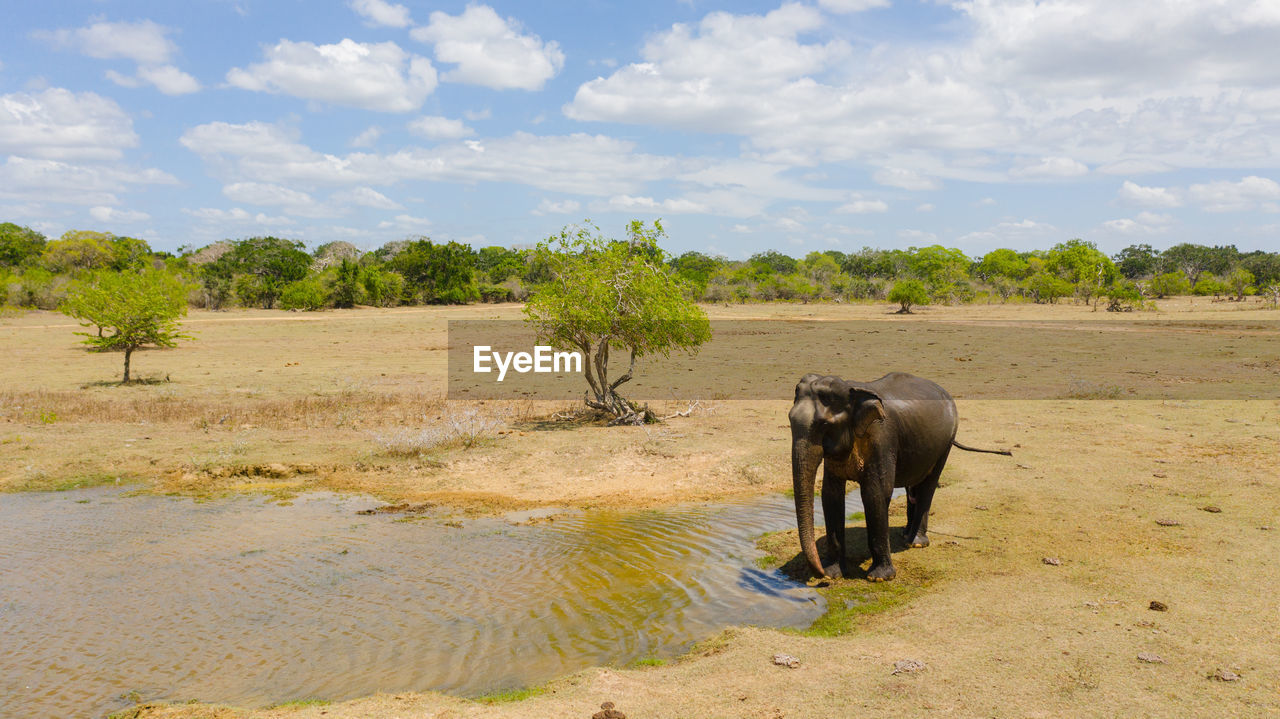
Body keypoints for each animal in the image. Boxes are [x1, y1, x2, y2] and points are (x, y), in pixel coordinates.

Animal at [788, 371, 1008, 578]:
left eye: (824, 425)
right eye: (790, 419)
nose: (819, 573)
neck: (853, 389)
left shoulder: (882, 439)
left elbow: (875, 494)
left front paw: (879, 578)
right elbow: (831, 495)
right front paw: (833, 573)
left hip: (946, 441)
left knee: (928, 485)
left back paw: (915, 542)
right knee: (914, 486)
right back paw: (905, 534)